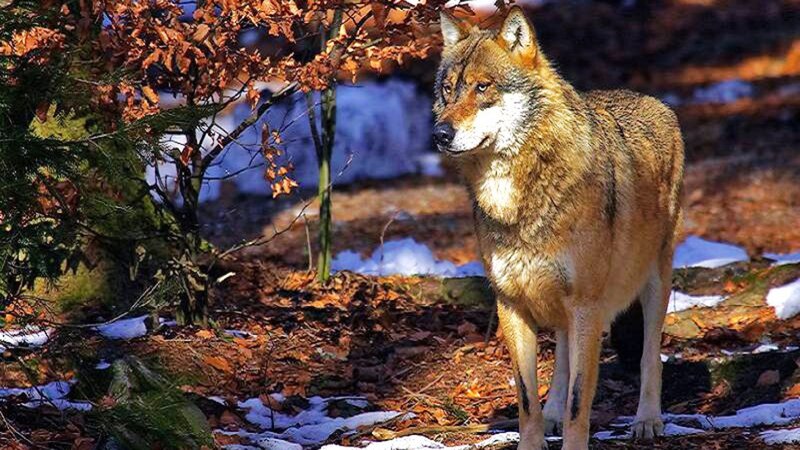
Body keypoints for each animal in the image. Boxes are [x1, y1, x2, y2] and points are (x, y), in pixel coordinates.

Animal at [432, 7, 684, 450]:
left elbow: (579, 401)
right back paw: (553, 413)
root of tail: (652, 101)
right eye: (448, 90)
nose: (441, 134)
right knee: (563, 359)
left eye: (482, 87)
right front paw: (534, 436)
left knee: (650, 355)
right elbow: (526, 397)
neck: (515, 197)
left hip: (654, 282)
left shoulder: (586, 305)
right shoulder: (511, 304)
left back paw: (647, 421)